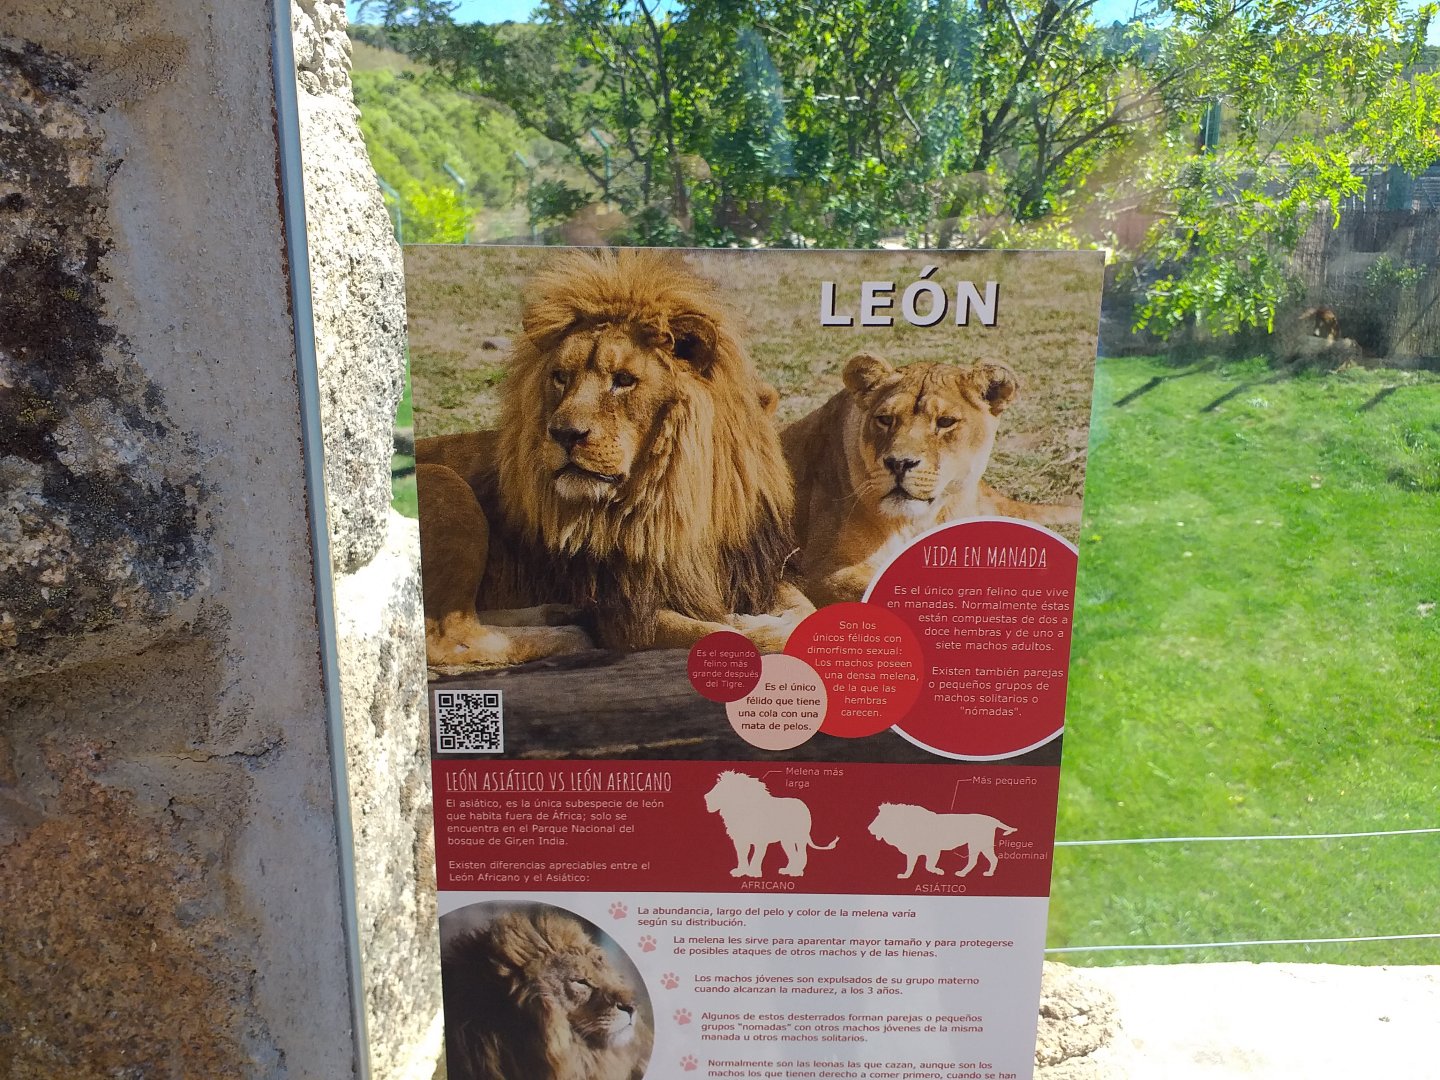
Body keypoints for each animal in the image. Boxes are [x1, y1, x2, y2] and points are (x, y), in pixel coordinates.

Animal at [416, 249, 810, 668]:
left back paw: (558, 612)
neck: (678, 497)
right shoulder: (628, 613)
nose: (564, 434)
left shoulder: (756, 573)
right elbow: (729, 636)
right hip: (446, 482)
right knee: (447, 636)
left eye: (623, 380)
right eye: (560, 376)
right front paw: (751, 627)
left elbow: (804, 608)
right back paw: (568, 635)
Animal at [704, 770, 837, 878]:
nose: (706, 797)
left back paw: (796, 872)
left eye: (724, 789)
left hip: (799, 837)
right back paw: (788, 870)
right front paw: (741, 872)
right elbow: (741, 856)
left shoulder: (760, 841)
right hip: (786, 840)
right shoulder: (740, 840)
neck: (742, 811)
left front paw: (753, 873)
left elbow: (756, 857)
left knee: (802, 854)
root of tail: (803, 805)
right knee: (792, 854)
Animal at [868, 802, 1016, 879]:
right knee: (976, 860)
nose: (869, 828)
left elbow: (928, 865)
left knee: (991, 859)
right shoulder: (913, 852)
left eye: (880, 818)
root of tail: (992, 819)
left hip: (979, 843)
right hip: (977, 845)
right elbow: (910, 865)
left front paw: (938, 871)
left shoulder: (933, 850)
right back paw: (963, 873)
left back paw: (987, 873)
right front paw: (905, 876)